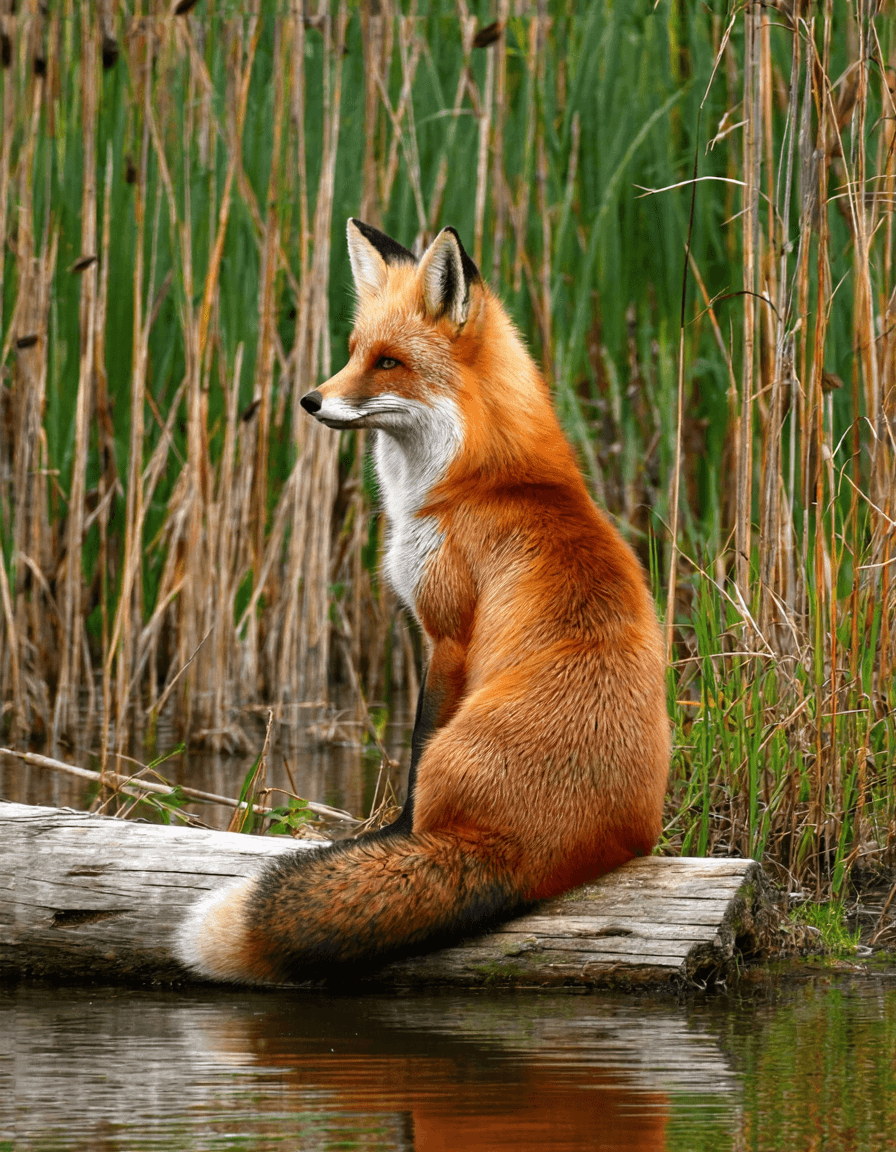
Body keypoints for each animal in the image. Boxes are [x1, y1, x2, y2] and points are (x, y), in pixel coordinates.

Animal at [175, 219, 670, 985]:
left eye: (390, 363)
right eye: (354, 352)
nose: (311, 401)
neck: (478, 478)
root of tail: (528, 853)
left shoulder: (446, 633)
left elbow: (410, 749)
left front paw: (390, 833)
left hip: (453, 748)